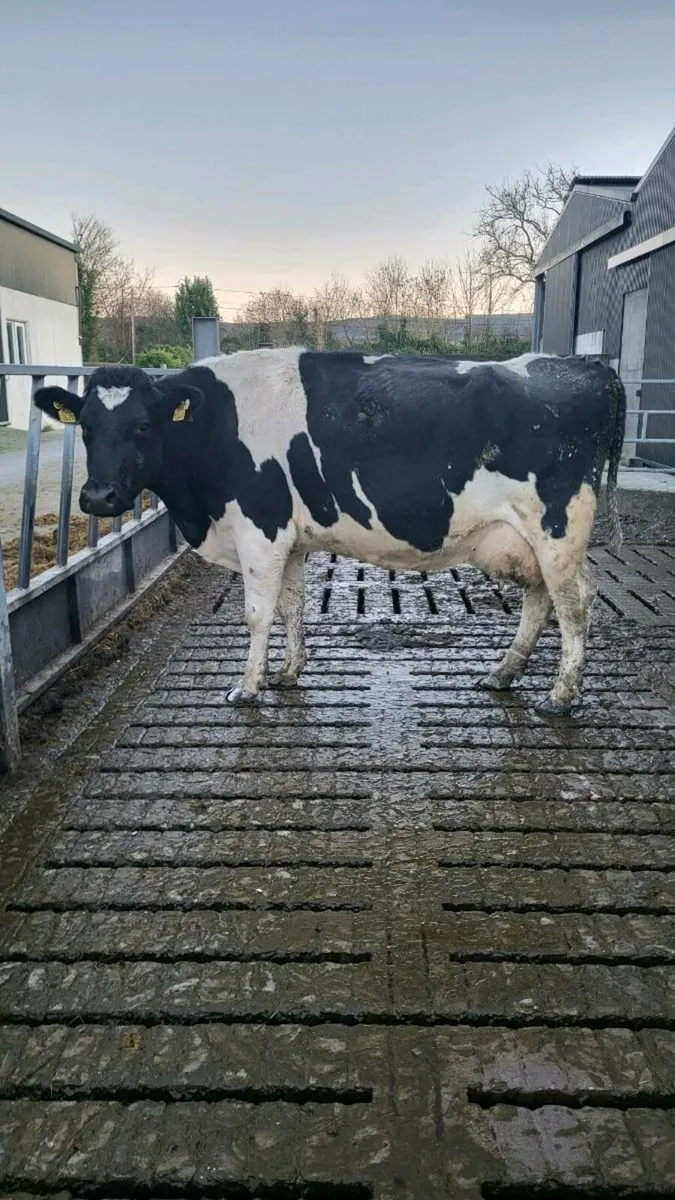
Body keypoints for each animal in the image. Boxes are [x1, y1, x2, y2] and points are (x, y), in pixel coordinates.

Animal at [33, 349, 625, 716]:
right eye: (87, 428)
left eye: (142, 426)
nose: (97, 498)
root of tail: (584, 366)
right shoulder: (291, 541)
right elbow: (292, 605)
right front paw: (288, 672)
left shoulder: (260, 529)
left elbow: (257, 614)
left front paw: (247, 687)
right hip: (531, 540)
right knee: (542, 599)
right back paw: (503, 674)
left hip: (558, 528)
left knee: (576, 603)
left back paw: (561, 695)